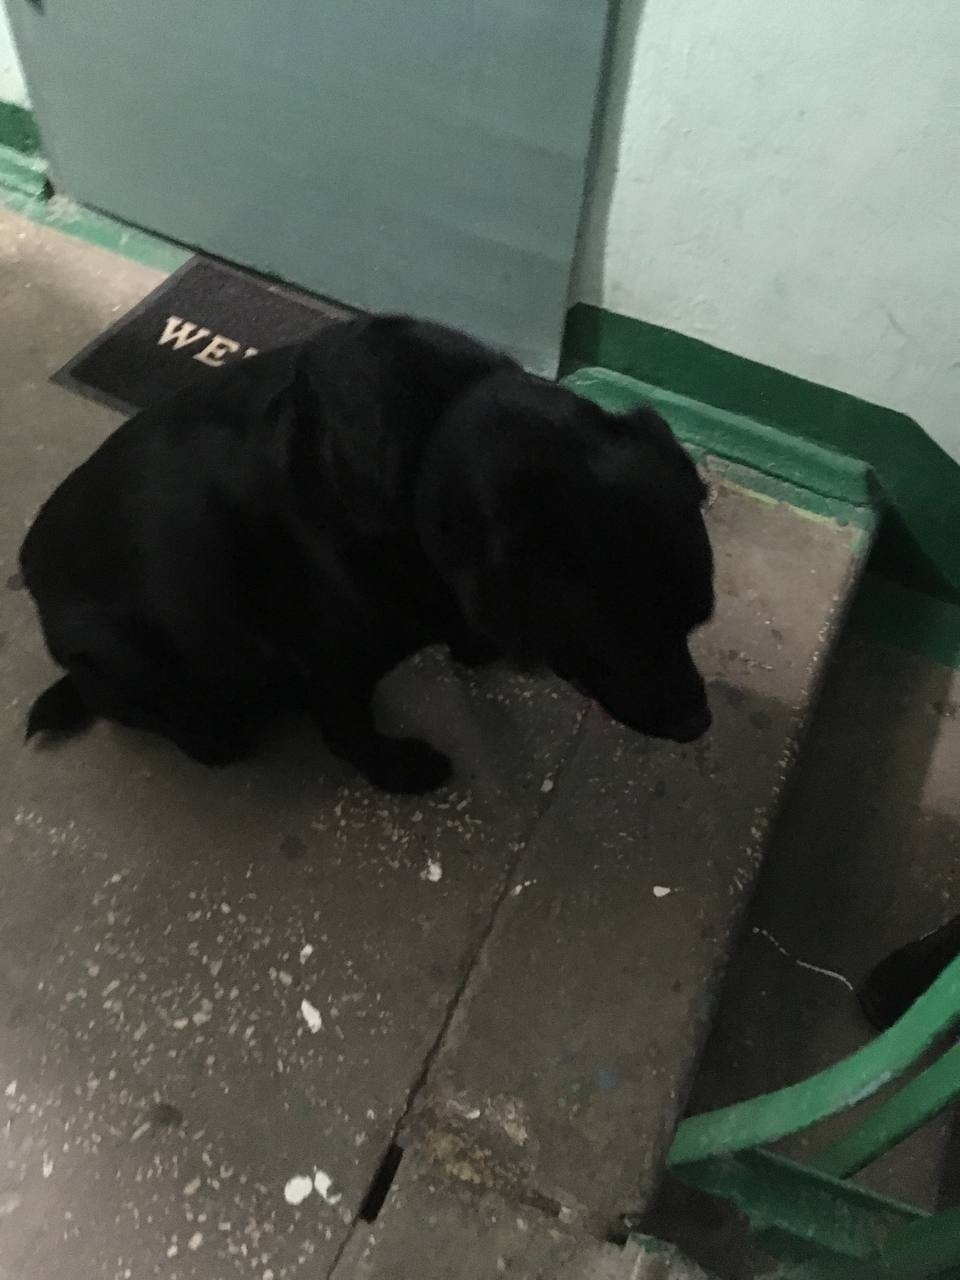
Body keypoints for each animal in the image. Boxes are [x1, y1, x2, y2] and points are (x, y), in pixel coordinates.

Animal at [20, 314, 715, 794]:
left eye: (696, 620)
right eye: (618, 636)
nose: (700, 724)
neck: (429, 444)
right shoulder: (330, 663)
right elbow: (351, 733)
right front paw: (400, 771)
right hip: (141, 666)